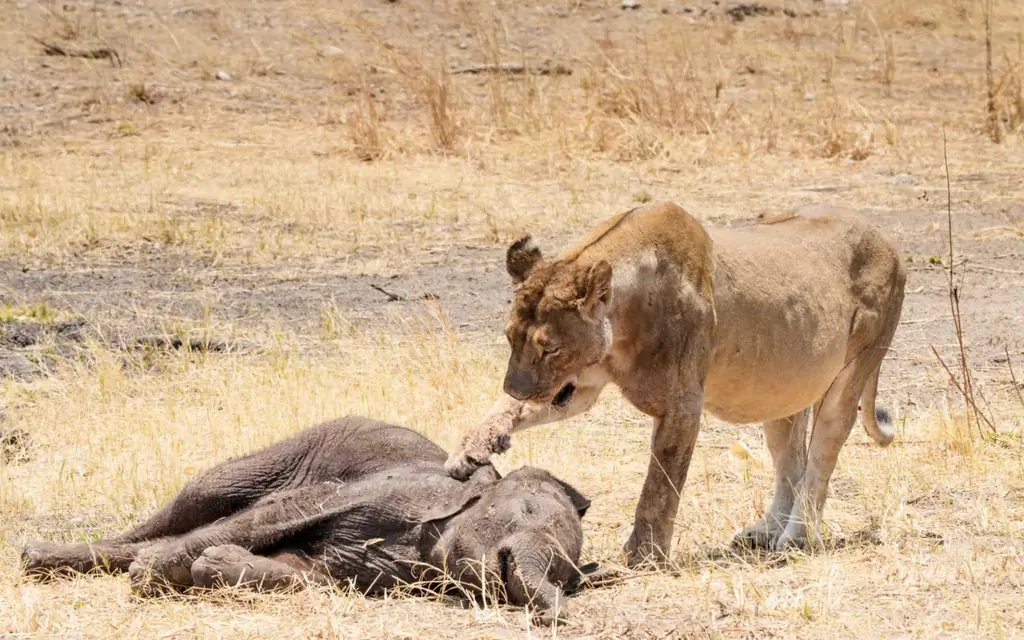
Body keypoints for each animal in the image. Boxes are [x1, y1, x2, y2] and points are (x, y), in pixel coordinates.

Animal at [21, 416, 593, 624]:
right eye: (525, 511)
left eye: (566, 573)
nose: (556, 618)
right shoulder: (398, 491)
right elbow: (277, 515)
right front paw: (151, 573)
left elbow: (306, 572)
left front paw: (211, 565)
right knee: (202, 498)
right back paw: (39, 557)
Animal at [445, 201, 906, 566]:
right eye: (510, 338)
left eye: (550, 348)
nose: (516, 386)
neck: (621, 318)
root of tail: (885, 236)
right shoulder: (577, 389)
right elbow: (511, 409)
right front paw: (471, 447)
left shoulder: (683, 405)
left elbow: (659, 486)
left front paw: (645, 555)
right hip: (782, 388)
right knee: (789, 458)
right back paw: (766, 531)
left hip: (857, 362)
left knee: (823, 452)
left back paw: (796, 537)